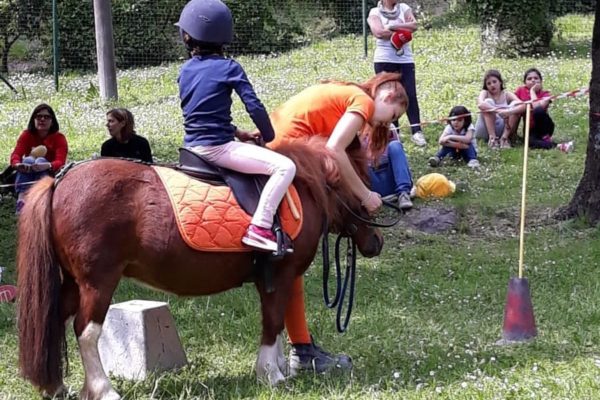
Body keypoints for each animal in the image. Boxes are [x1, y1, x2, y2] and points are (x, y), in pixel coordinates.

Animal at [16, 137, 382, 396]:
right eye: (364, 178)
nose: (376, 242)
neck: (300, 189)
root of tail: (59, 182)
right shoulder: (280, 275)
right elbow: (273, 321)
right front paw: (271, 374)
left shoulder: (274, 279)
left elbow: (275, 323)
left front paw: (276, 367)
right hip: (98, 283)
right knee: (86, 331)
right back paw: (103, 390)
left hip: (73, 282)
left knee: (55, 320)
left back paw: (56, 386)